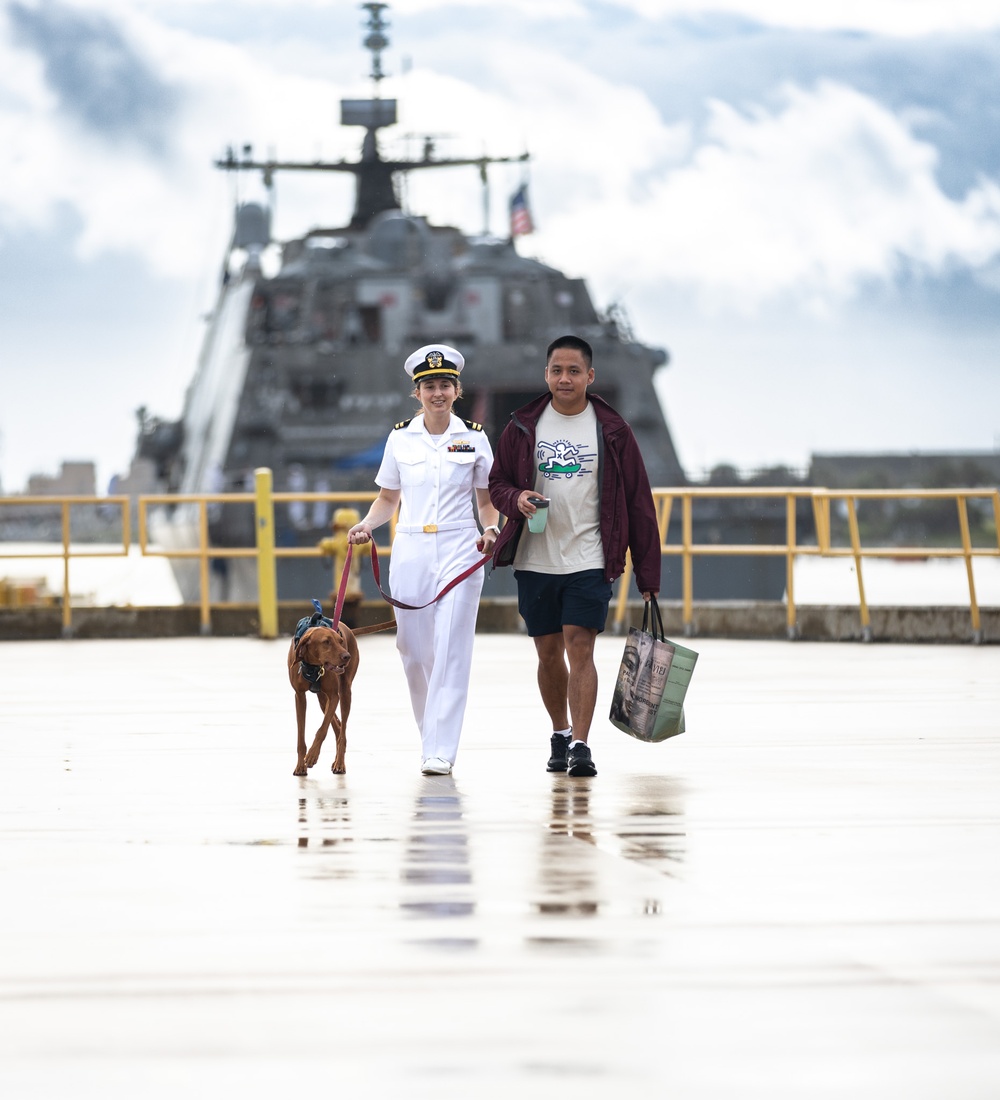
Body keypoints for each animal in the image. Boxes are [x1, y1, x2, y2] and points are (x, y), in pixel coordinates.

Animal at [288, 624, 358, 778]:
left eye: (340, 641)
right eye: (326, 642)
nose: (347, 656)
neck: (313, 665)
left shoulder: (334, 696)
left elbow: (322, 729)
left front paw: (312, 756)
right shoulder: (299, 697)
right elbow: (300, 737)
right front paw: (300, 766)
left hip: (344, 693)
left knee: (342, 730)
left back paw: (339, 764)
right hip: (322, 698)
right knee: (338, 727)